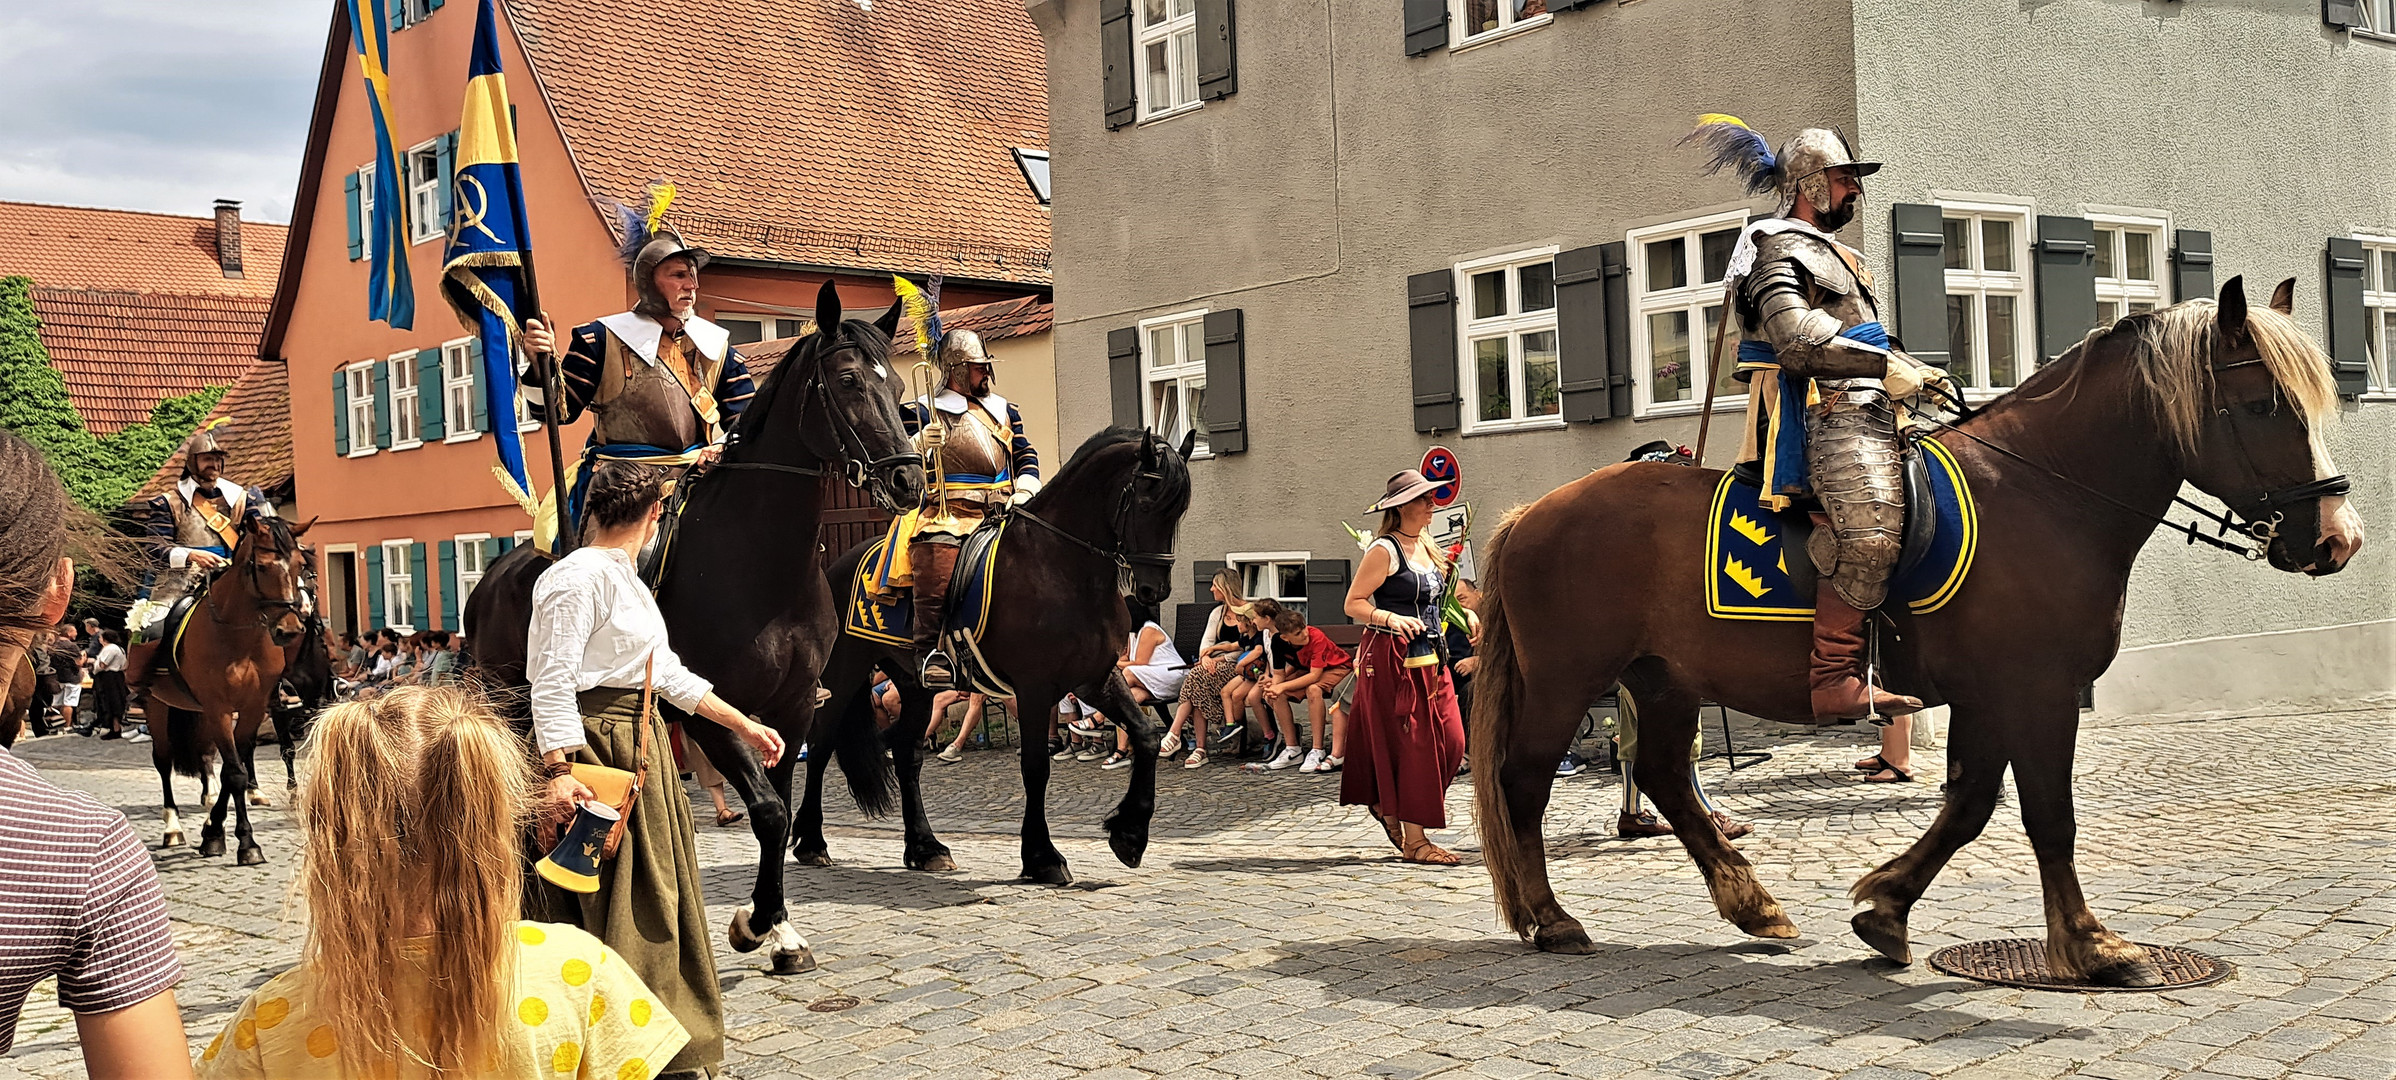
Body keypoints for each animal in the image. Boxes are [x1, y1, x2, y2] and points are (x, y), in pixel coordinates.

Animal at [144, 517, 311, 871]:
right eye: (261, 566)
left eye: (300, 564)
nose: (289, 629)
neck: (239, 638)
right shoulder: (218, 709)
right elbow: (234, 772)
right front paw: (246, 843)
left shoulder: (252, 708)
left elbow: (236, 768)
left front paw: (214, 830)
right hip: (156, 706)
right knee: (163, 761)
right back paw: (172, 828)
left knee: (207, 757)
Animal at [462, 276, 920, 972]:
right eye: (846, 380)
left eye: (895, 387)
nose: (907, 478)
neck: (757, 562)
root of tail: (491, 576)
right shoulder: (704, 710)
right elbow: (767, 811)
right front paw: (755, 925)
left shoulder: (787, 713)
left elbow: (780, 811)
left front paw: (778, 929)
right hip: (515, 706)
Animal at [790, 426, 1193, 890]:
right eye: (1146, 499)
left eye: (1179, 509)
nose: (1153, 590)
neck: (1062, 567)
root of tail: (840, 562)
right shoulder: (1035, 687)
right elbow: (1036, 766)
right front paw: (1042, 857)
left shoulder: (1095, 678)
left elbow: (1145, 736)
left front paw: (1129, 835)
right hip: (843, 674)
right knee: (822, 744)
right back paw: (812, 841)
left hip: (915, 687)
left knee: (907, 756)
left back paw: (925, 848)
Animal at [1466, 278, 2367, 991]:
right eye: (2262, 404)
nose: (2338, 538)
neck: (2045, 497)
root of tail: (1532, 512)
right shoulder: (2035, 690)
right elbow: (2049, 815)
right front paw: (2091, 946)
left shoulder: (1990, 695)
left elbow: (1968, 805)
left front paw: (1886, 910)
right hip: (1568, 680)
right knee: (1525, 781)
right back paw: (1552, 919)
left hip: (1663, 679)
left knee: (1662, 776)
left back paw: (1755, 907)